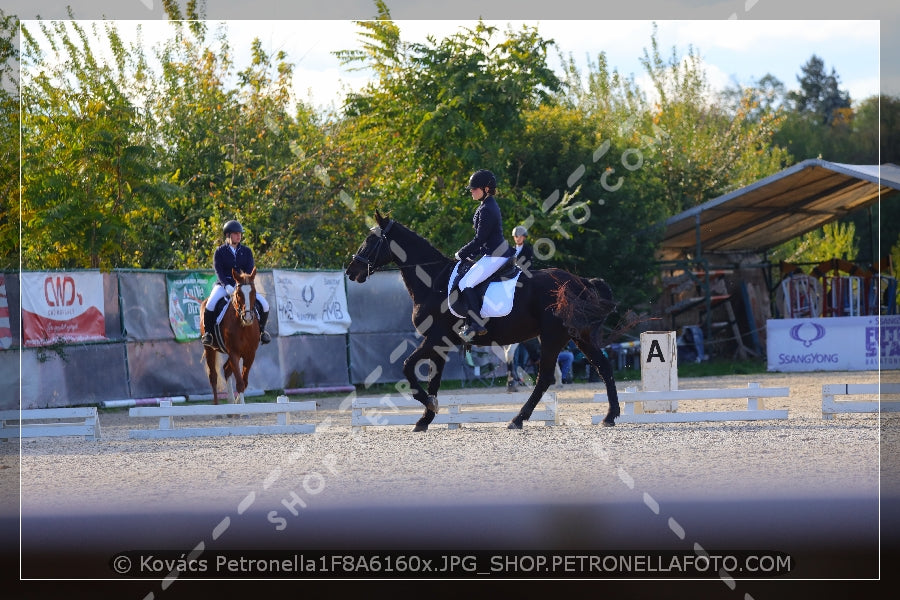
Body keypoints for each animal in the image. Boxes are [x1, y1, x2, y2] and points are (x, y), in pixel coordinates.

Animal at [200, 268, 260, 406]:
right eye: (238, 294)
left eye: (254, 292)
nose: (248, 318)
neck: (243, 327)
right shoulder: (234, 353)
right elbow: (240, 383)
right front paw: (242, 406)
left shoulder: (250, 354)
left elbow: (244, 381)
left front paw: (237, 403)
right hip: (209, 349)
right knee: (213, 377)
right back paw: (217, 406)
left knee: (226, 369)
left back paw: (231, 402)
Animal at [344, 211, 620, 432]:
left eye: (371, 240)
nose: (350, 271)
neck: (433, 281)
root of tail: (580, 281)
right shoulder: (441, 344)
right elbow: (434, 380)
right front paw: (425, 419)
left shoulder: (434, 338)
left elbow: (407, 367)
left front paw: (429, 408)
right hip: (578, 335)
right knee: (603, 367)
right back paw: (610, 416)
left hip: (552, 337)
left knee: (545, 378)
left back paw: (518, 419)